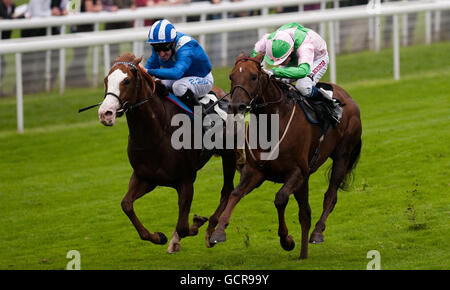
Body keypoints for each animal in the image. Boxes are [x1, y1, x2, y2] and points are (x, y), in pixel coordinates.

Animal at [97, 53, 236, 253]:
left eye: (127, 81)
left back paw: (211, 231)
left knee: (227, 190)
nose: (105, 113)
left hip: (229, 154)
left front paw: (195, 223)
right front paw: (158, 236)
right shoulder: (145, 177)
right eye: (106, 80)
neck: (156, 133)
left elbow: (183, 226)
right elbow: (126, 205)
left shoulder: (186, 180)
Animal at [211, 53, 362, 260]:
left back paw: (318, 232)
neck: (272, 124)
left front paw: (287, 240)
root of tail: (349, 98)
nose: (236, 106)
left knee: (330, 196)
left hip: (342, 156)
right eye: (231, 76)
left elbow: (280, 198)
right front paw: (218, 231)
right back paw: (303, 253)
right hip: (306, 179)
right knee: (305, 213)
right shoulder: (255, 171)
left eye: (253, 77)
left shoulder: (297, 171)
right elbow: (235, 194)